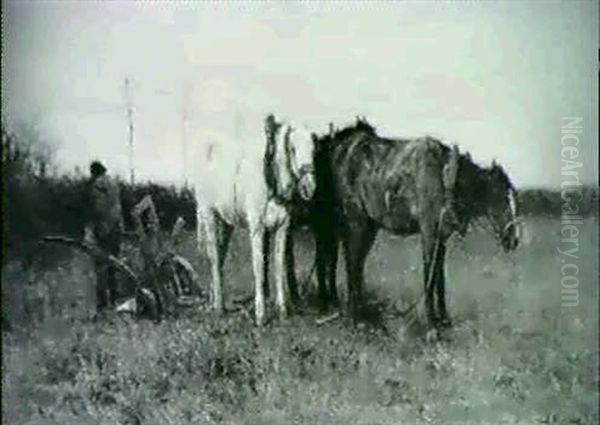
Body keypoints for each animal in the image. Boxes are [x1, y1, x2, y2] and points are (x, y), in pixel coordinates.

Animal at [195, 114, 316, 322]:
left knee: (220, 255)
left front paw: (282, 311)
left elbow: (278, 267)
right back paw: (218, 306)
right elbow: (259, 268)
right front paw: (260, 315)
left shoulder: (282, 228)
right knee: (214, 257)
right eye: (292, 149)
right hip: (208, 215)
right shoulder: (257, 229)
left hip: (226, 223)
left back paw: (215, 301)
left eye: (313, 148)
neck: (270, 180)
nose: (309, 187)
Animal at [296, 117, 520, 330]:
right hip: (354, 221)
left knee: (353, 262)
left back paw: (359, 312)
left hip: (366, 226)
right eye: (501, 198)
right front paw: (431, 326)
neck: (446, 177)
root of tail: (340, 147)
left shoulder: (441, 237)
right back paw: (353, 317)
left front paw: (443, 319)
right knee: (350, 261)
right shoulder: (428, 232)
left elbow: (439, 276)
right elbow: (429, 275)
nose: (514, 238)